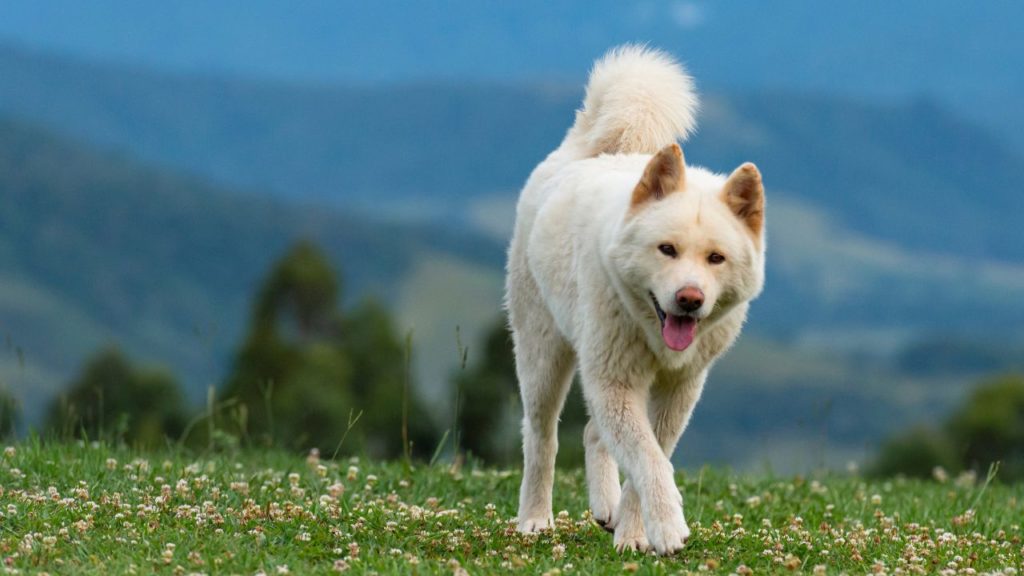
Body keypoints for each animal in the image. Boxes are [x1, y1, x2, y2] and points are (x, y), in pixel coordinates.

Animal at [507, 45, 765, 553]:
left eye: (716, 258)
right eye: (667, 249)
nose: (689, 298)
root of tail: (586, 150)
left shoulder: (680, 388)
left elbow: (649, 457)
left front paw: (633, 532)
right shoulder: (614, 381)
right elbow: (648, 459)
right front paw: (666, 525)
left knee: (592, 432)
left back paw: (605, 510)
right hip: (544, 355)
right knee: (541, 439)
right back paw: (535, 519)